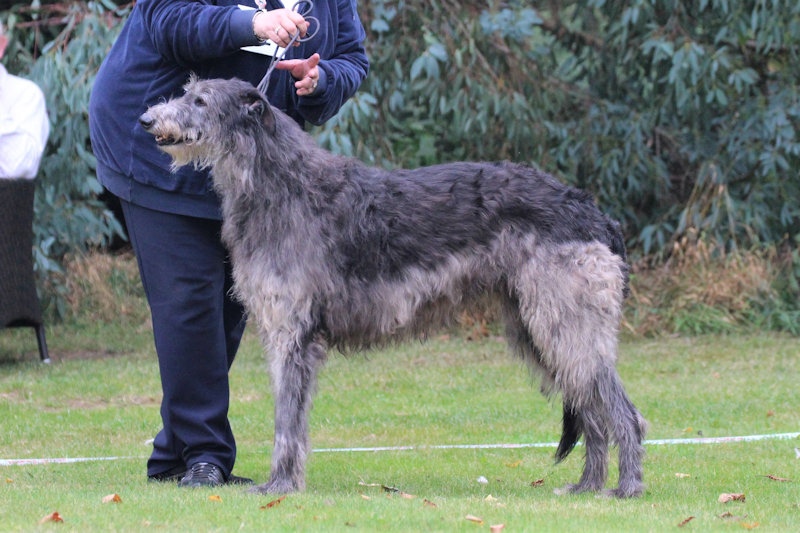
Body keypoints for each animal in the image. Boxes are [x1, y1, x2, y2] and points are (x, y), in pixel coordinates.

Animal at [141, 77, 648, 496]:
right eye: (187, 92)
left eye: (200, 100)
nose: (147, 120)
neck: (281, 184)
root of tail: (594, 212)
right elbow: (294, 418)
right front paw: (286, 482)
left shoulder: (292, 333)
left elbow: (286, 419)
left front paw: (279, 485)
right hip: (538, 325)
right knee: (591, 409)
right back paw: (587, 486)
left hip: (565, 321)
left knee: (622, 411)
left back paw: (626, 488)